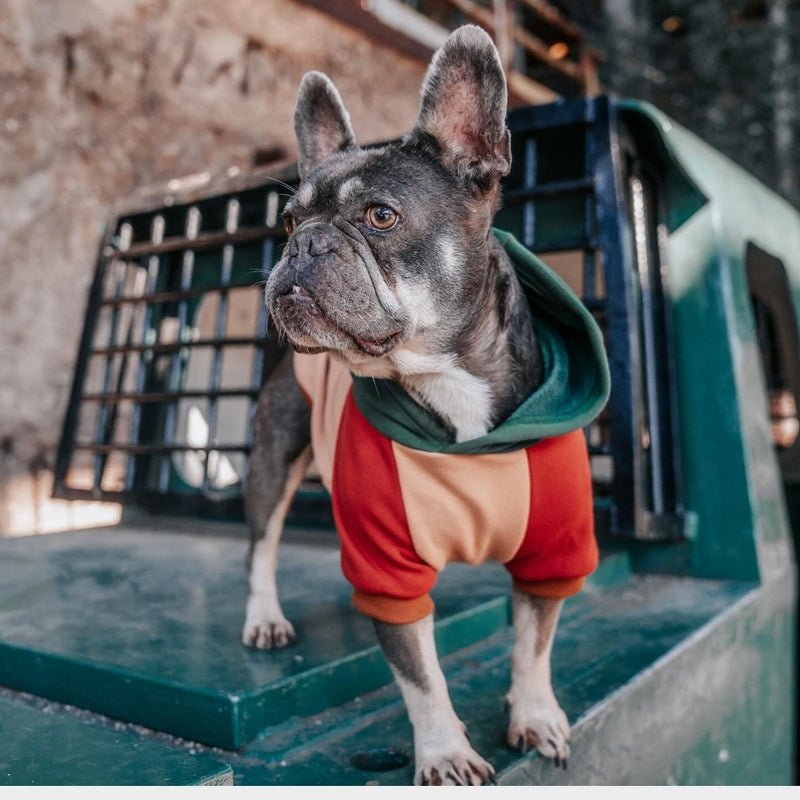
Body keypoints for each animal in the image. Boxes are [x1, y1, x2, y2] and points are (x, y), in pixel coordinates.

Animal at [242, 26, 608, 788]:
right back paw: (263, 617)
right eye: (288, 221)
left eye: (381, 217)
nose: (303, 243)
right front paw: (444, 753)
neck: (448, 381)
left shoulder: (551, 556)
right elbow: (421, 675)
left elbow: (534, 645)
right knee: (262, 543)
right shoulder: (391, 570)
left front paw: (535, 714)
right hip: (274, 456)